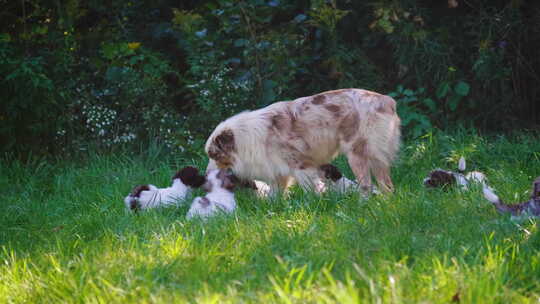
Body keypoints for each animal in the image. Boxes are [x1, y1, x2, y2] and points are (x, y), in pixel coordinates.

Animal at [207, 88, 400, 195]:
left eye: (213, 155)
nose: (206, 173)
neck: (245, 137)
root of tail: (387, 101)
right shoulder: (278, 170)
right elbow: (274, 194)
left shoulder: (300, 165)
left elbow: (310, 189)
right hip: (376, 157)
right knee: (387, 185)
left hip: (357, 154)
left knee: (366, 185)